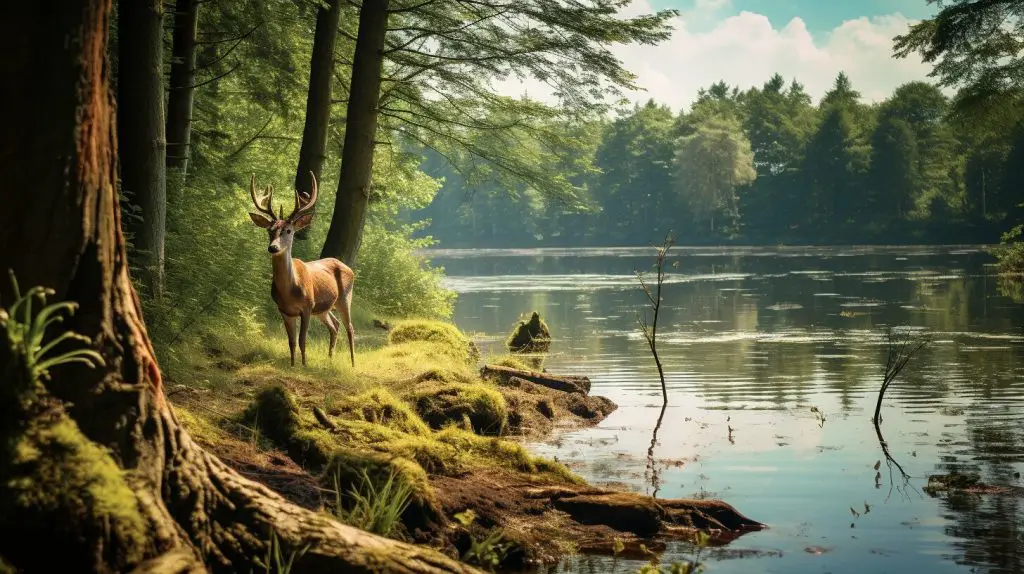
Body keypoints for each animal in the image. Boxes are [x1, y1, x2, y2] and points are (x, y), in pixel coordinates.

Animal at [246, 169, 356, 366]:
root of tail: (346, 266)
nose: (273, 247)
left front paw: (304, 365)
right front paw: (292, 364)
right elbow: (291, 341)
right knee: (335, 325)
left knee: (349, 328)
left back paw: (352, 363)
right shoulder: (284, 311)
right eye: (269, 230)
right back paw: (330, 358)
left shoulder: (307, 307)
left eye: (288, 231)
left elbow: (302, 340)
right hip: (323, 309)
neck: (290, 291)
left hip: (344, 297)